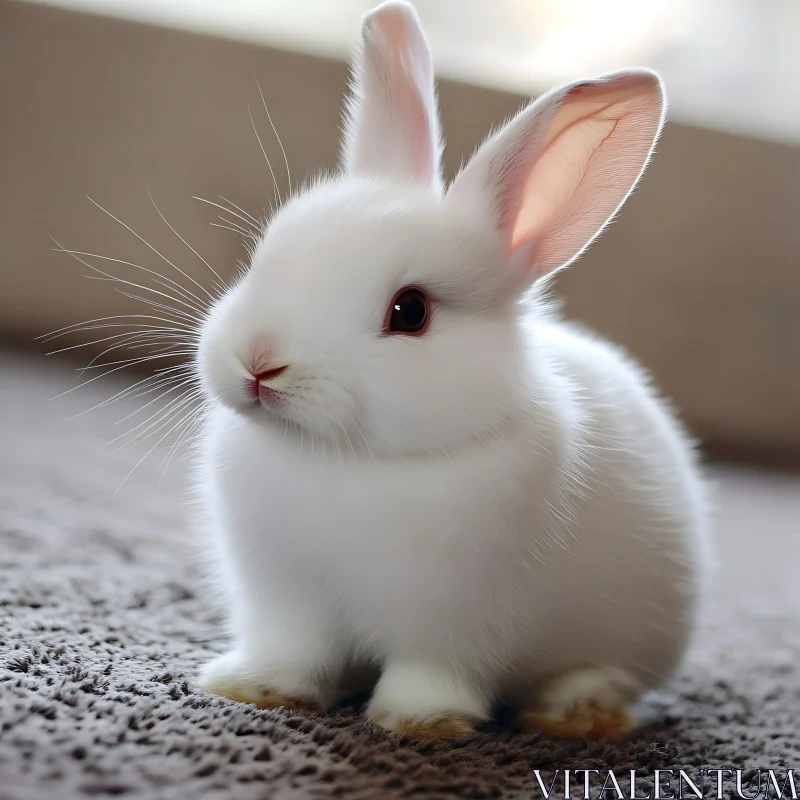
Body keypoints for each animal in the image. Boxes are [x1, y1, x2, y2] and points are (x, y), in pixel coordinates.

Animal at [197, 0, 708, 740]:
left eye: (410, 312)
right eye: (269, 251)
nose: (261, 363)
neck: (348, 461)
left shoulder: (452, 620)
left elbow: (429, 673)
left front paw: (419, 723)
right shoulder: (285, 600)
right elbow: (290, 655)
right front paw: (252, 690)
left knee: (602, 673)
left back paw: (576, 714)